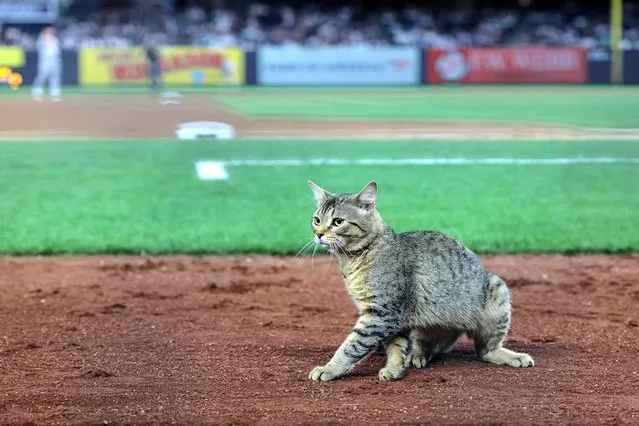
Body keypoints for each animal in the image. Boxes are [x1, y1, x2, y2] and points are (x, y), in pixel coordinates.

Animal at [308, 181, 532, 382]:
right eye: (316, 220)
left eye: (338, 221)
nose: (318, 234)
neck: (354, 259)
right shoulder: (391, 317)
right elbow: (395, 347)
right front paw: (394, 368)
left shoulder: (382, 313)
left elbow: (352, 346)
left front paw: (329, 368)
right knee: (425, 344)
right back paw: (417, 354)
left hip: (497, 290)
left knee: (485, 351)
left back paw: (512, 356)